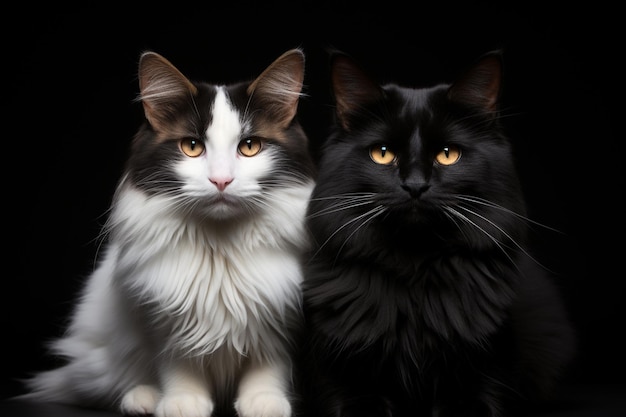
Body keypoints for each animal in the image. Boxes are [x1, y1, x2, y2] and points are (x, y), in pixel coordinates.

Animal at [22, 46, 314, 416]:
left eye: (250, 147)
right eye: (192, 147)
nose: (221, 180)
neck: (220, 247)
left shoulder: (279, 314)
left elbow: (268, 363)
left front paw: (264, 401)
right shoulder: (163, 316)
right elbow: (178, 363)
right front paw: (182, 401)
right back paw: (142, 397)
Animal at [298, 49, 576, 416]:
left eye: (448, 155)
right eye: (383, 154)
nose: (415, 186)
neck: (415, 272)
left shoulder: (488, 368)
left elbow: (470, 397)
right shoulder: (336, 369)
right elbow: (357, 396)